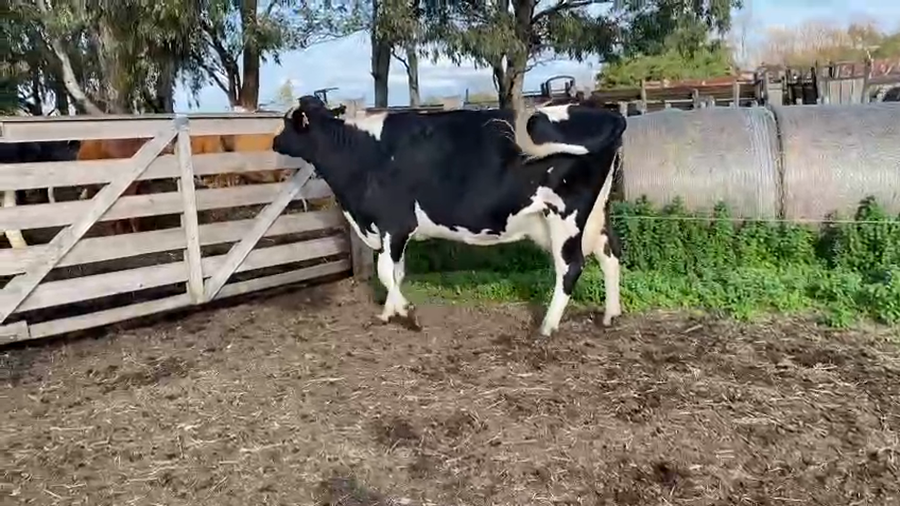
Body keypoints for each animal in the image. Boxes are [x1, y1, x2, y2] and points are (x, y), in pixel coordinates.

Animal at [271, 95, 627, 337]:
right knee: (609, 256)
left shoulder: (395, 223)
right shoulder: (393, 232)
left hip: (566, 216)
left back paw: (548, 325)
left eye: (289, 122)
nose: (274, 141)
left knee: (570, 267)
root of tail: (604, 111)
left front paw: (406, 312)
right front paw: (389, 312)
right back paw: (611, 314)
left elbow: (386, 272)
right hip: (593, 217)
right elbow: (396, 272)